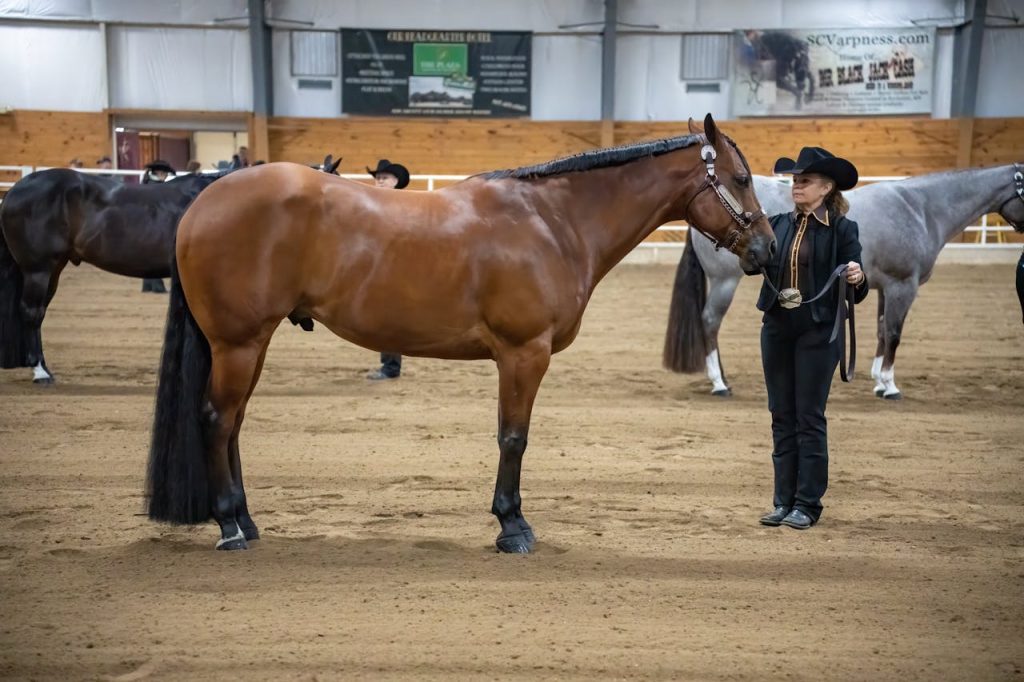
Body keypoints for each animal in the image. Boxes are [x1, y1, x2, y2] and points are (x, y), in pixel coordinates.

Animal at [144, 114, 776, 552]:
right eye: (742, 178)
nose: (768, 249)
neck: (553, 221)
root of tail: (200, 204)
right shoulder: (525, 354)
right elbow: (513, 438)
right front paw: (512, 526)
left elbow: (509, 436)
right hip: (238, 343)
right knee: (218, 420)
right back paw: (230, 526)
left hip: (251, 345)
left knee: (233, 424)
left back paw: (247, 520)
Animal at [663, 164, 1024, 398]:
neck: (918, 208)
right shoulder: (902, 286)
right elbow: (894, 333)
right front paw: (890, 386)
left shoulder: (885, 288)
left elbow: (881, 330)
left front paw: (878, 379)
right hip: (724, 281)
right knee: (709, 322)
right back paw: (719, 383)